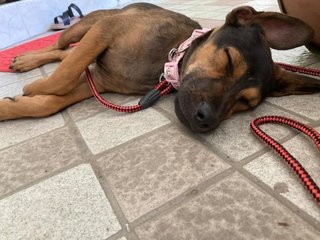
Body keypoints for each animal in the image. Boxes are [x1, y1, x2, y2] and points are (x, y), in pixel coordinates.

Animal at [2, 2, 320, 132]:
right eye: (229, 60)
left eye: (246, 102)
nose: (206, 120)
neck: (169, 58)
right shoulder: (104, 31)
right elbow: (64, 75)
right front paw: (34, 86)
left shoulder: (99, 81)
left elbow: (50, 100)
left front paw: (14, 104)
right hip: (89, 24)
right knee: (60, 47)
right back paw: (26, 59)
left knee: (63, 54)